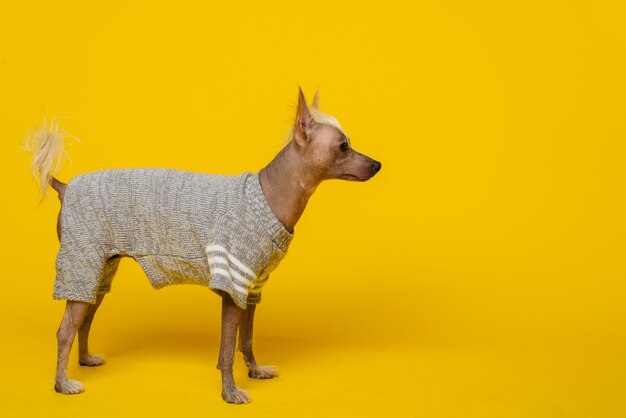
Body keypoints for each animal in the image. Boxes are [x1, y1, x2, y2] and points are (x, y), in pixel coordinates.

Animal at [25, 86, 380, 404]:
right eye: (343, 146)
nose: (377, 165)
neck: (269, 193)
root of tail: (66, 186)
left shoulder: (252, 288)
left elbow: (246, 339)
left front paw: (255, 371)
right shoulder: (232, 288)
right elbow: (226, 348)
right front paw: (230, 393)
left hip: (98, 273)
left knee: (84, 320)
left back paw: (85, 360)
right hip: (80, 265)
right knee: (65, 330)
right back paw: (62, 384)